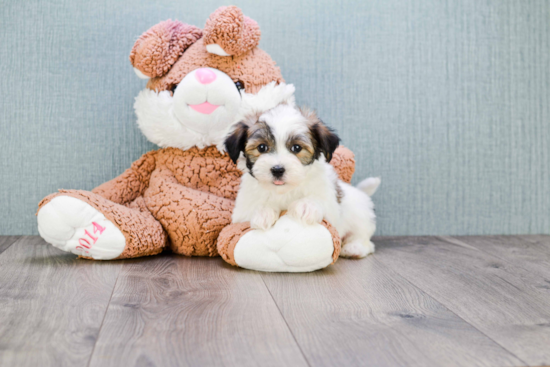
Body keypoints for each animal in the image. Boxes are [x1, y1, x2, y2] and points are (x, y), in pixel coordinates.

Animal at [226, 103, 382, 258]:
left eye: (296, 148)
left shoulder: (330, 207)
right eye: (262, 147)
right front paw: (263, 213)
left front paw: (306, 206)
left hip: (361, 217)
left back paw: (354, 248)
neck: (283, 191)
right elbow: (254, 207)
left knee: (365, 239)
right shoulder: (240, 212)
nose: (277, 170)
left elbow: (319, 201)